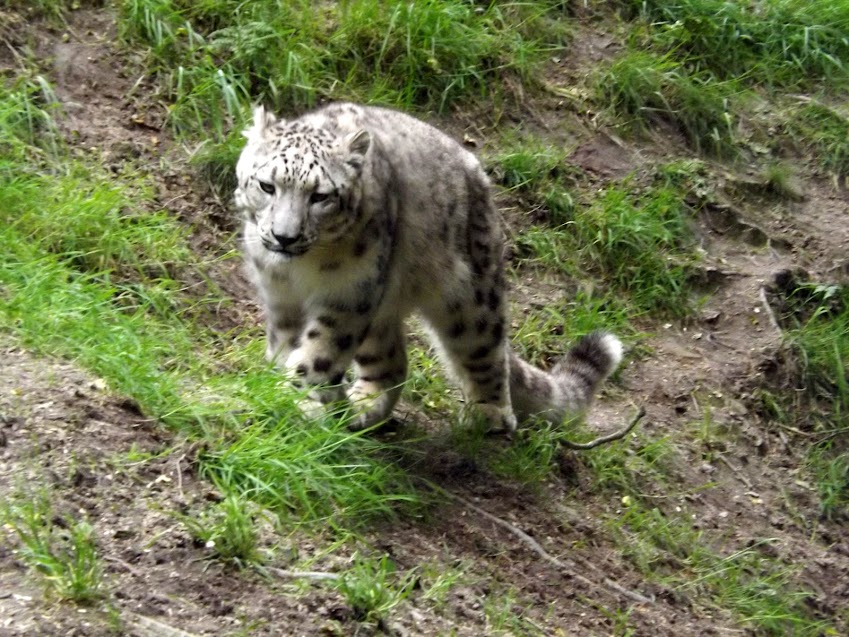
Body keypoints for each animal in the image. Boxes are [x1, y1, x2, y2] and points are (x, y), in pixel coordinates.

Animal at [235, 103, 620, 432]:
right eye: (267, 185)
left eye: (320, 196)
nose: (285, 237)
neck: (301, 270)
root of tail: (479, 177)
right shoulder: (280, 297)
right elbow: (288, 344)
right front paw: (279, 389)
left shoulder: (346, 296)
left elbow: (320, 352)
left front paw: (298, 399)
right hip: (381, 304)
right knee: (391, 362)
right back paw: (361, 407)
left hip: (468, 297)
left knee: (486, 348)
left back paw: (491, 413)